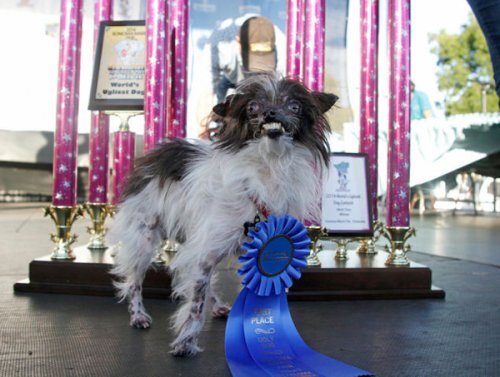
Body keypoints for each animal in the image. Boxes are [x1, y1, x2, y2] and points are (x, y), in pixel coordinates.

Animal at [108, 72, 336, 356]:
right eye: (252, 107)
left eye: (294, 106)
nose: (271, 113)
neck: (269, 166)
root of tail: (154, 157)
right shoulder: (204, 252)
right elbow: (195, 303)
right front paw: (186, 342)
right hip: (144, 240)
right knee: (134, 281)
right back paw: (138, 314)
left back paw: (216, 306)